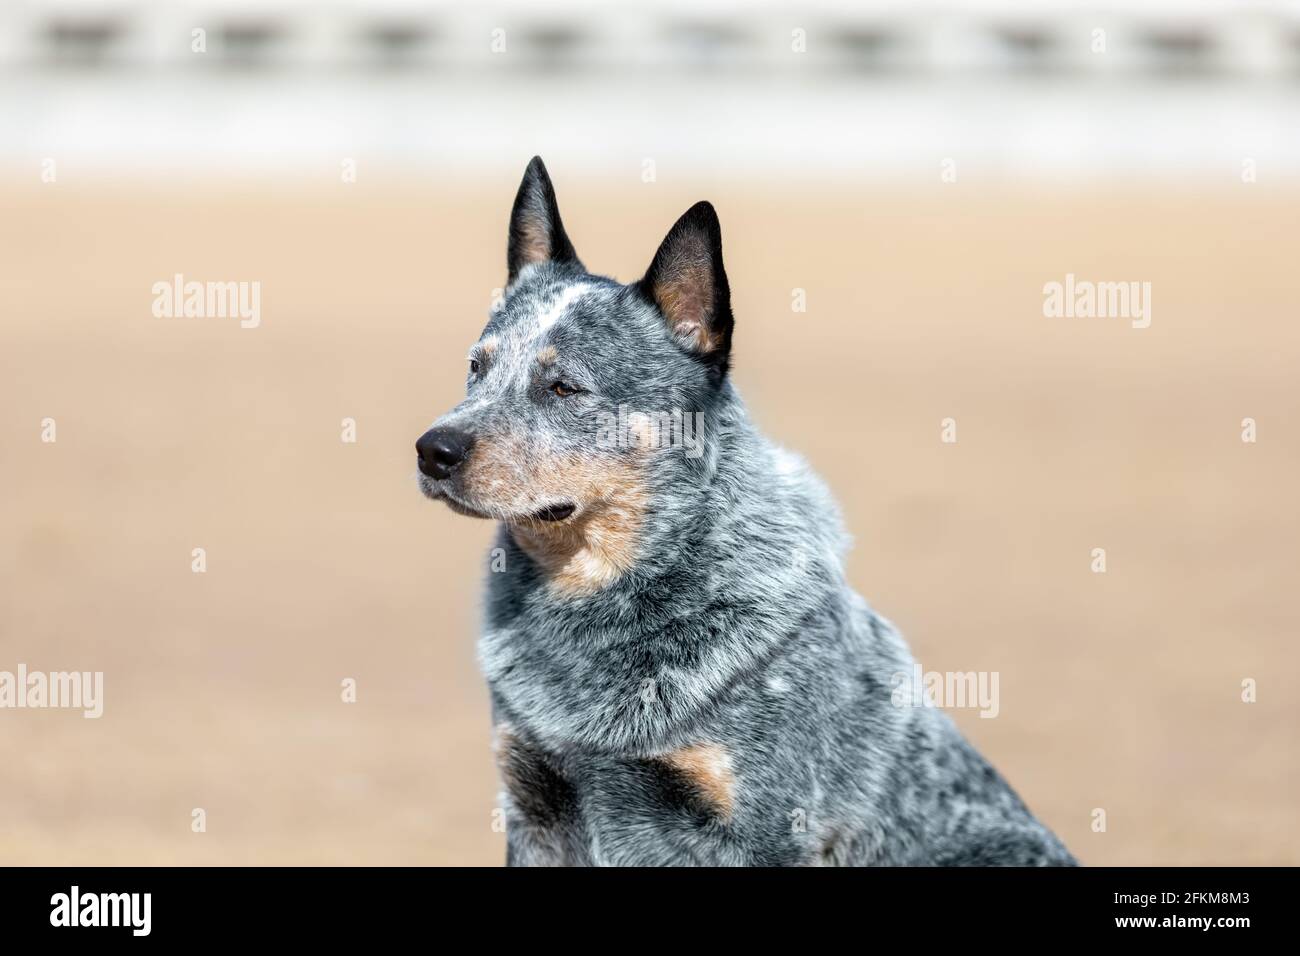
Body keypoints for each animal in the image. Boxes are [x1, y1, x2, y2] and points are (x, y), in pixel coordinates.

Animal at [416, 158, 1076, 868]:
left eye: (563, 387)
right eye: (476, 368)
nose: (433, 450)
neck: (597, 597)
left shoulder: (759, 827)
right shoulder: (533, 803)